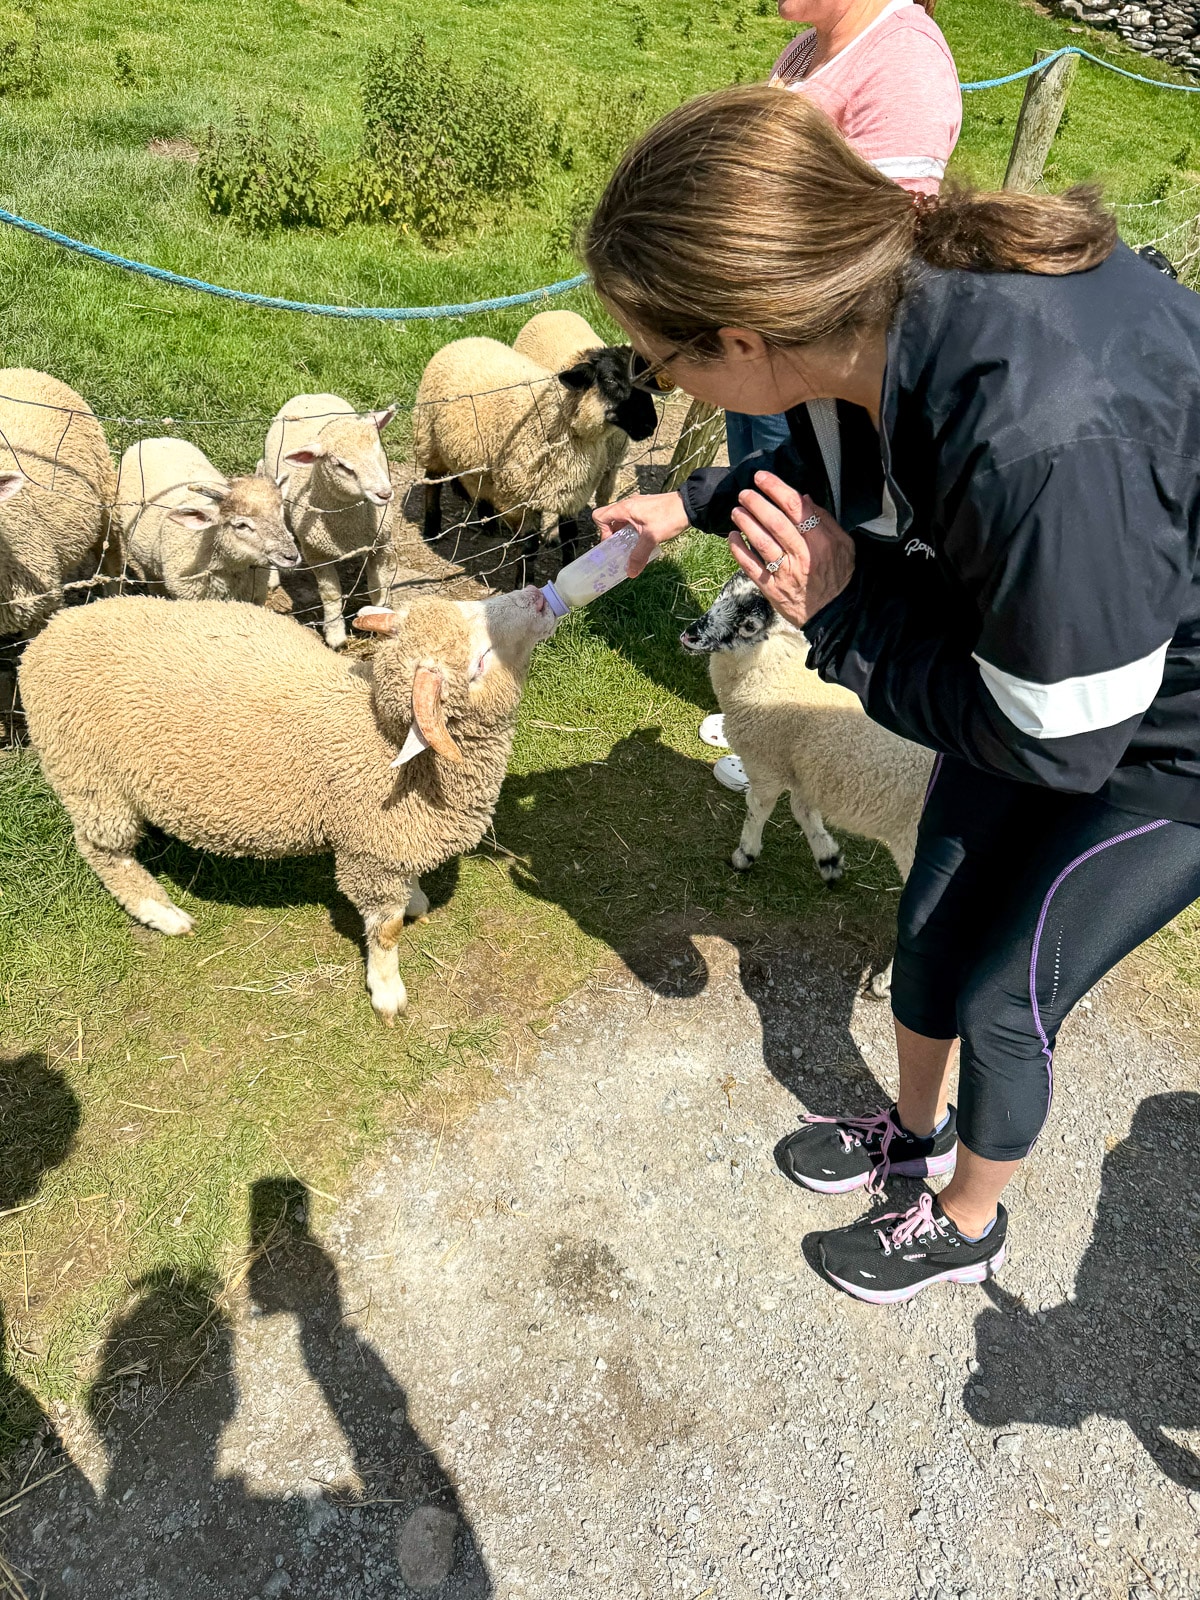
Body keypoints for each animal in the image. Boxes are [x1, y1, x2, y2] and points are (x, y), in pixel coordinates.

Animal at [23, 588, 560, 1024]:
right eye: (478, 663)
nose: (538, 595)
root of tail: (49, 634)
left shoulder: (388, 842)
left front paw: (414, 899)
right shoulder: (367, 853)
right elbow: (384, 932)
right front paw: (387, 991)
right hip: (88, 775)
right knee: (103, 850)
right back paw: (161, 912)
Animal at [260, 393, 396, 649]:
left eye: (378, 451)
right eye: (342, 465)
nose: (384, 494)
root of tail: (309, 394)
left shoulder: (380, 545)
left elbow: (378, 588)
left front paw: (379, 619)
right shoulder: (316, 554)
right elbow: (331, 594)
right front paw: (335, 635)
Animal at [684, 576, 928, 992]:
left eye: (749, 626)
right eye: (723, 591)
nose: (691, 634)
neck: (772, 667)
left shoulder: (766, 762)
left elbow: (759, 808)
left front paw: (744, 856)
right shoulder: (805, 768)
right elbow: (802, 810)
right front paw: (828, 858)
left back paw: (885, 982)